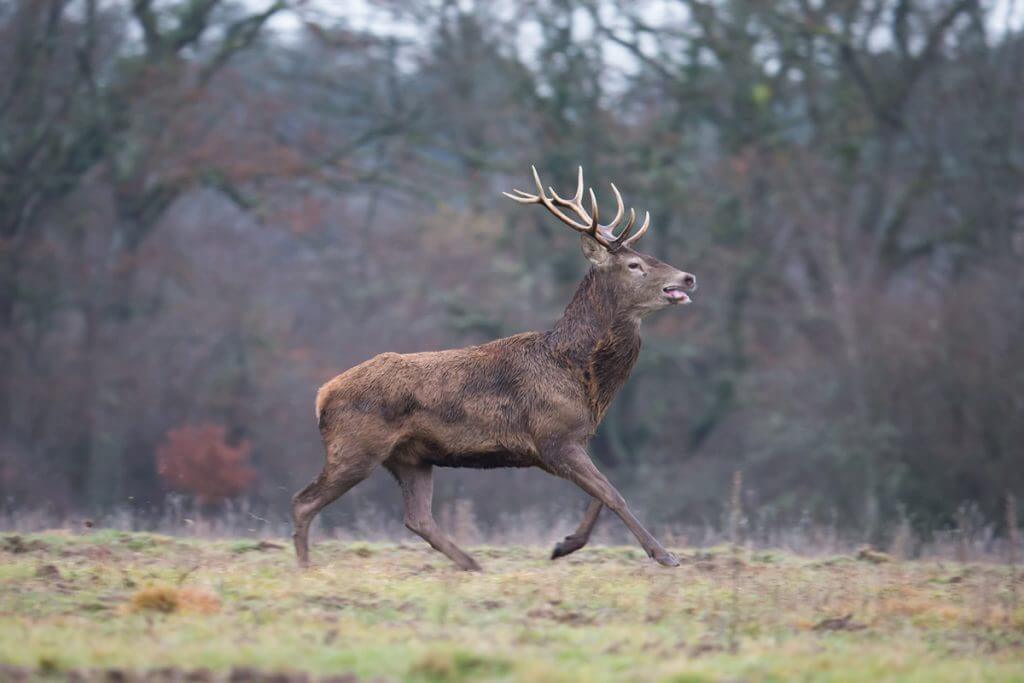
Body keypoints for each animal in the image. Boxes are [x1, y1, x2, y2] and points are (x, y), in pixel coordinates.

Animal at [292, 166, 697, 570]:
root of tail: (321, 394)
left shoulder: (572, 441)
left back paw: (472, 564)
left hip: (410, 457)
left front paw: (564, 544)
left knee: (417, 518)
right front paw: (664, 555)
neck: (581, 377)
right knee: (303, 501)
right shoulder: (552, 437)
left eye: (648, 255)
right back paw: (306, 566)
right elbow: (613, 494)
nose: (688, 277)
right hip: (355, 446)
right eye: (635, 265)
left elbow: (600, 496)